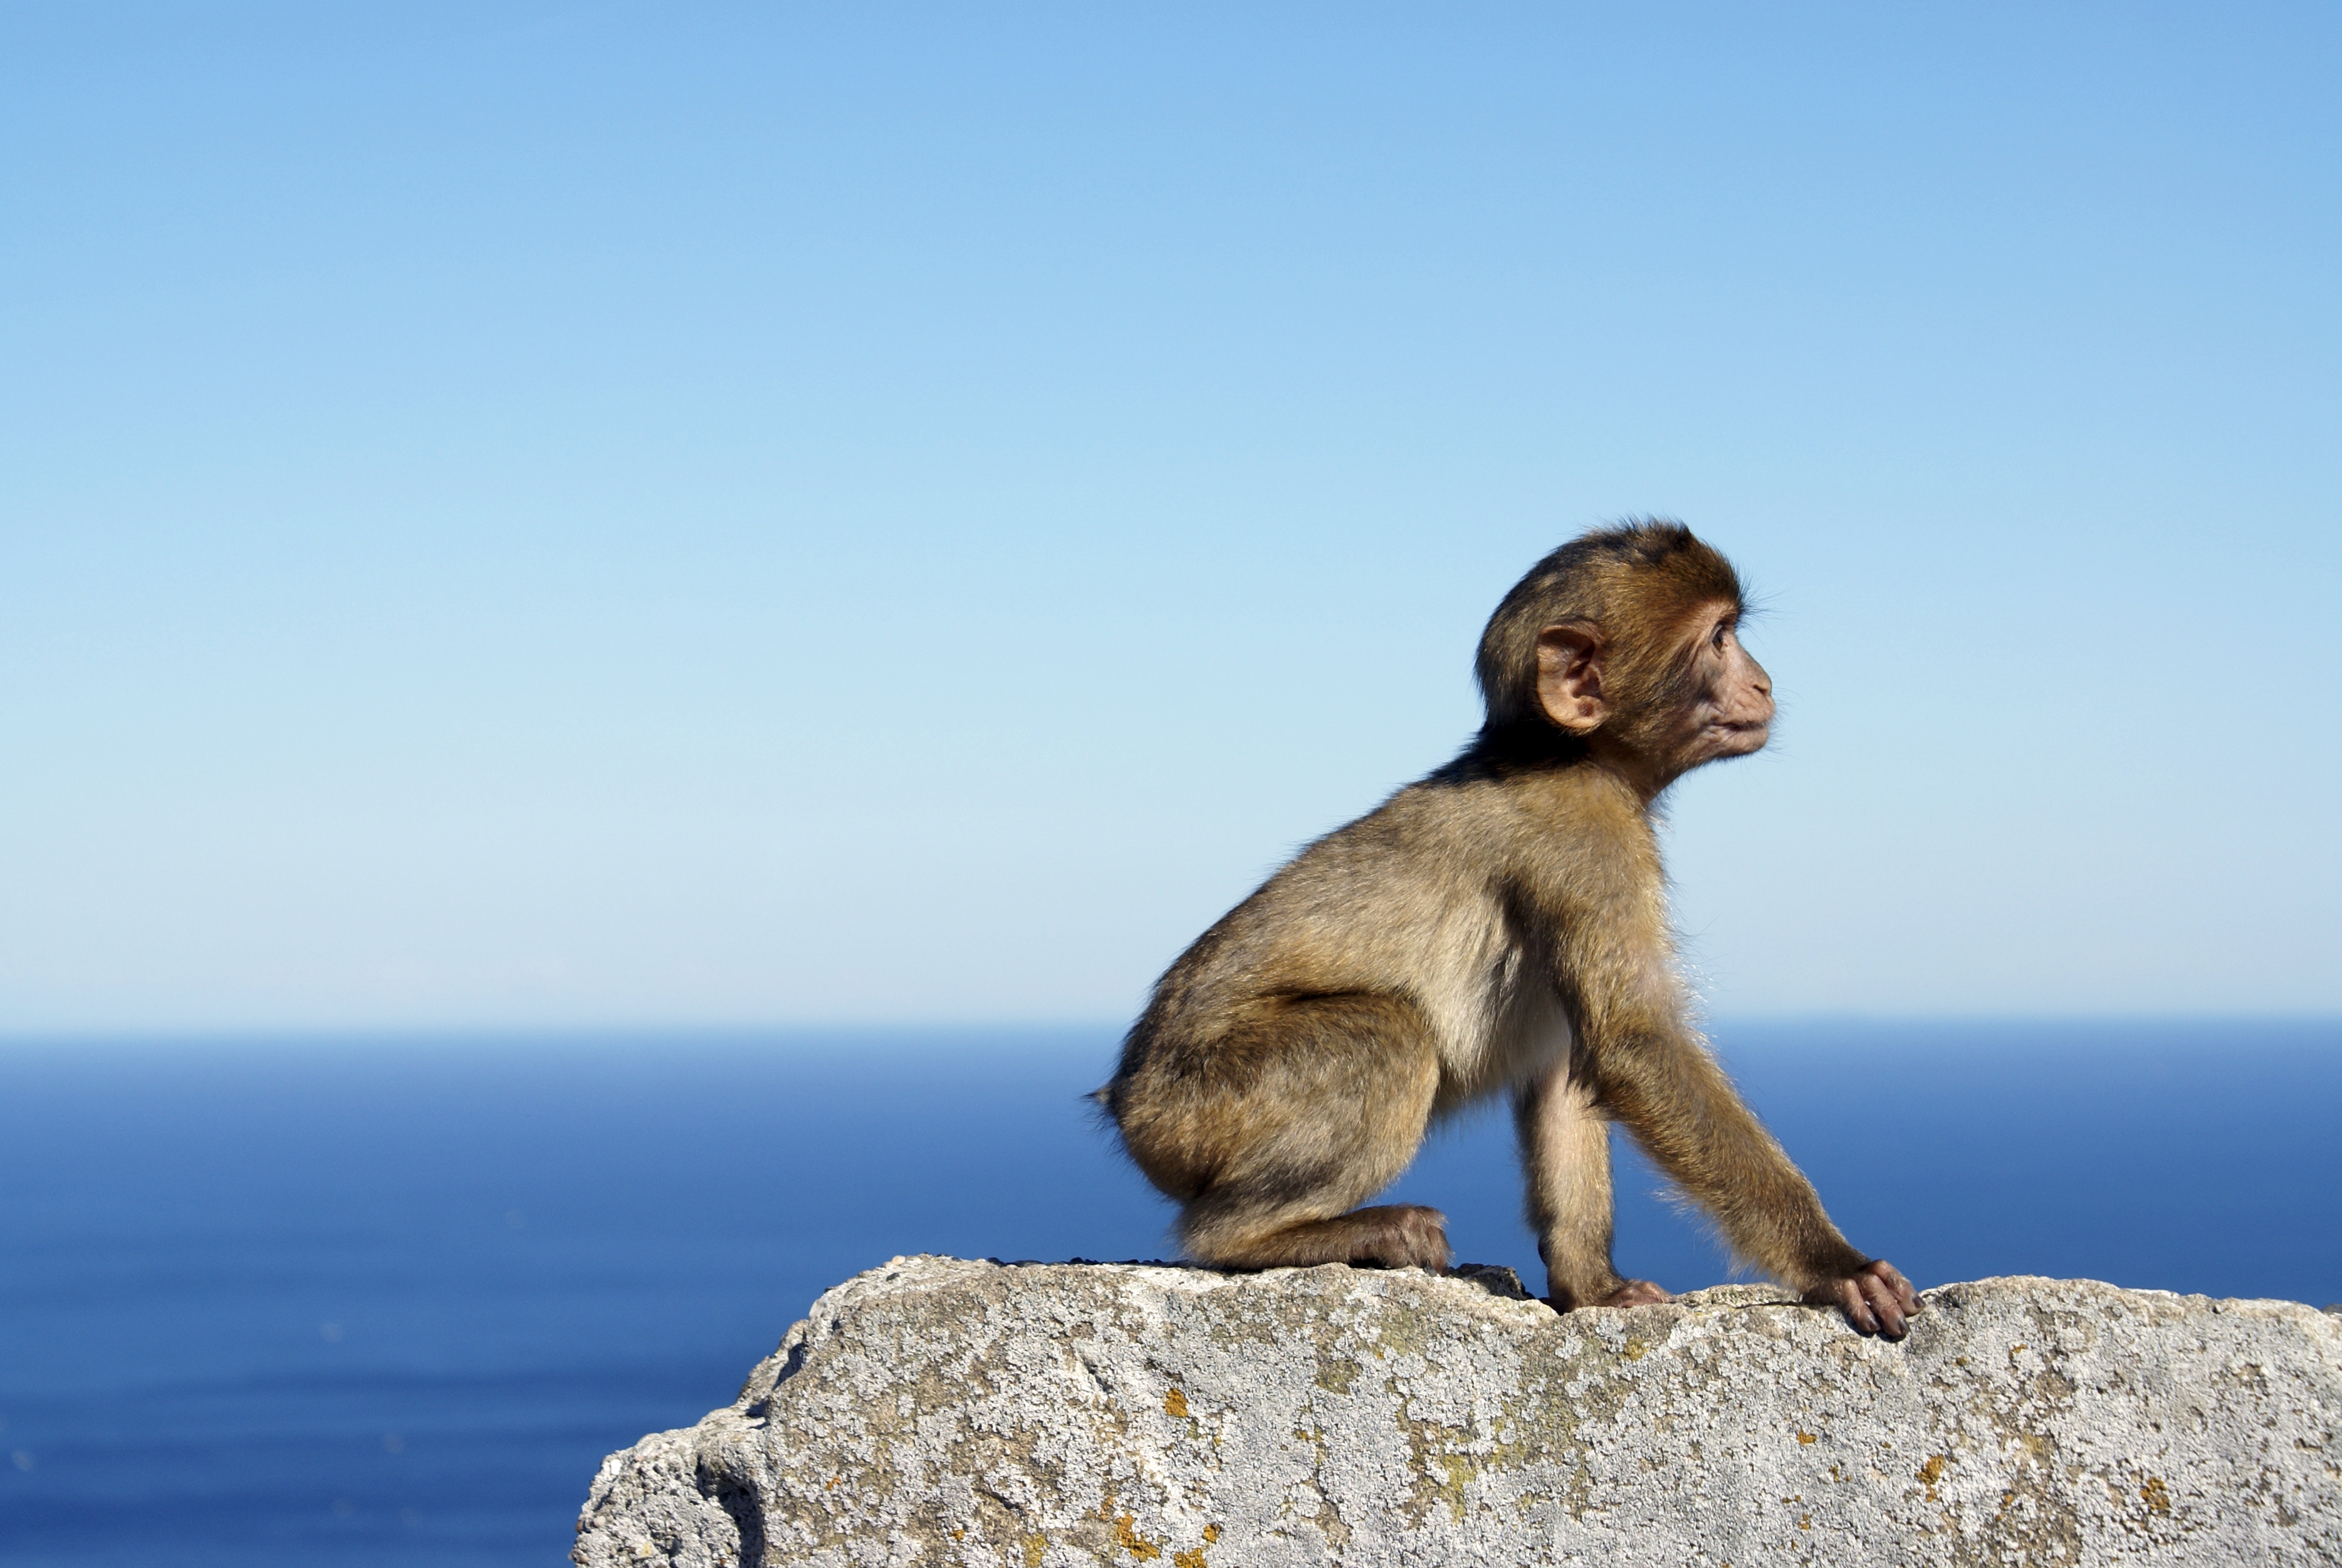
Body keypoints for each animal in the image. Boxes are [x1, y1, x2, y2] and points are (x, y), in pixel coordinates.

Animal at [1099, 521, 1920, 1338]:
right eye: (1718, 639)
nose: (1763, 684)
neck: (1565, 753)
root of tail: (1127, 1105)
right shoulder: (1588, 837)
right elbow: (1634, 1043)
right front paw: (1835, 1264)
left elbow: (1565, 1067)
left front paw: (1593, 1287)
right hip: (1199, 1105)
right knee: (1385, 1035)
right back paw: (1268, 1234)